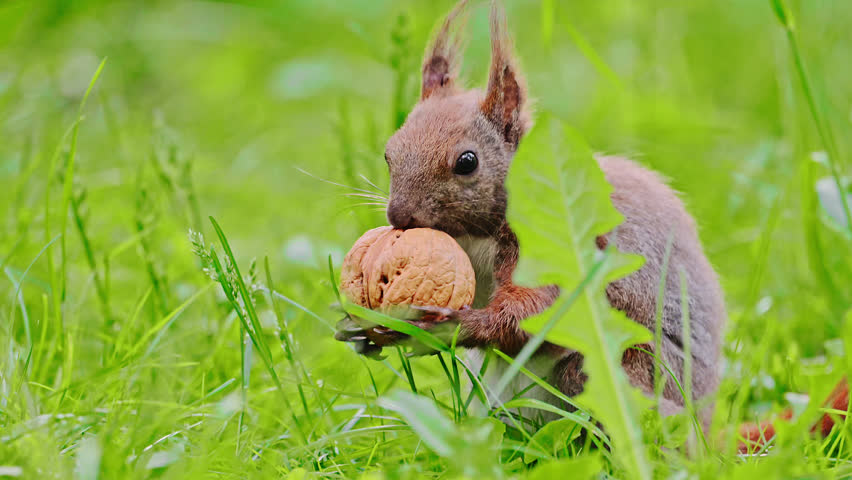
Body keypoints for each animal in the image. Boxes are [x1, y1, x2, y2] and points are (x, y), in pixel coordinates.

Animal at [342, 0, 848, 446]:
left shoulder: (561, 253)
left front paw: (449, 324)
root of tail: (704, 440)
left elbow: (533, 312)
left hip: (619, 374)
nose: (399, 216)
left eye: (467, 162)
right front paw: (362, 331)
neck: (473, 238)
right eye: (389, 152)